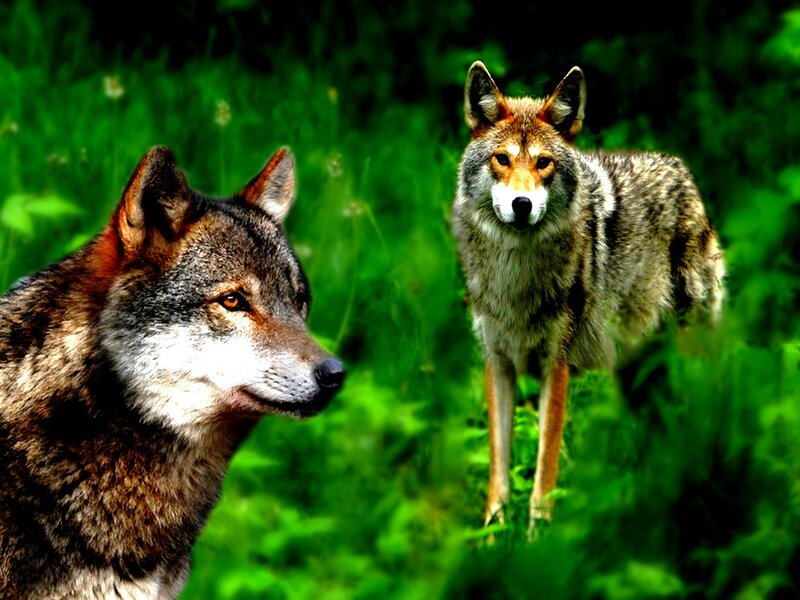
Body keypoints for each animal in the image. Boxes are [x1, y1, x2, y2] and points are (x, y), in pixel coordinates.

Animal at [453, 61, 724, 536]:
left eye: (543, 163)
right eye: (501, 159)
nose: (521, 205)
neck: (514, 278)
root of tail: (679, 168)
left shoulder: (555, 368)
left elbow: (544, 470)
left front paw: (537, 538)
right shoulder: (497, 365)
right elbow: (499, 471)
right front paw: (492, 536)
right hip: (637, 376)